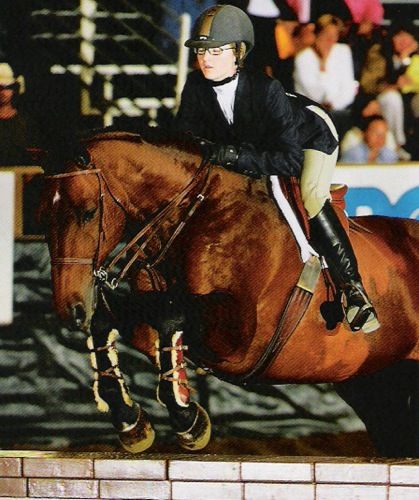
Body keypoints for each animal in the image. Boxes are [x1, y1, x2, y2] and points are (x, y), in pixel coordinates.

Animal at [40, 132, 419, 458]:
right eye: (43, 218)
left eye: (88, 212)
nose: (70, 309)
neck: (197, 215)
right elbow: (118, 321)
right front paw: (132, 421)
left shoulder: (240, 338)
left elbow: (171, 314)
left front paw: (188, 420)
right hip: (374, 384)